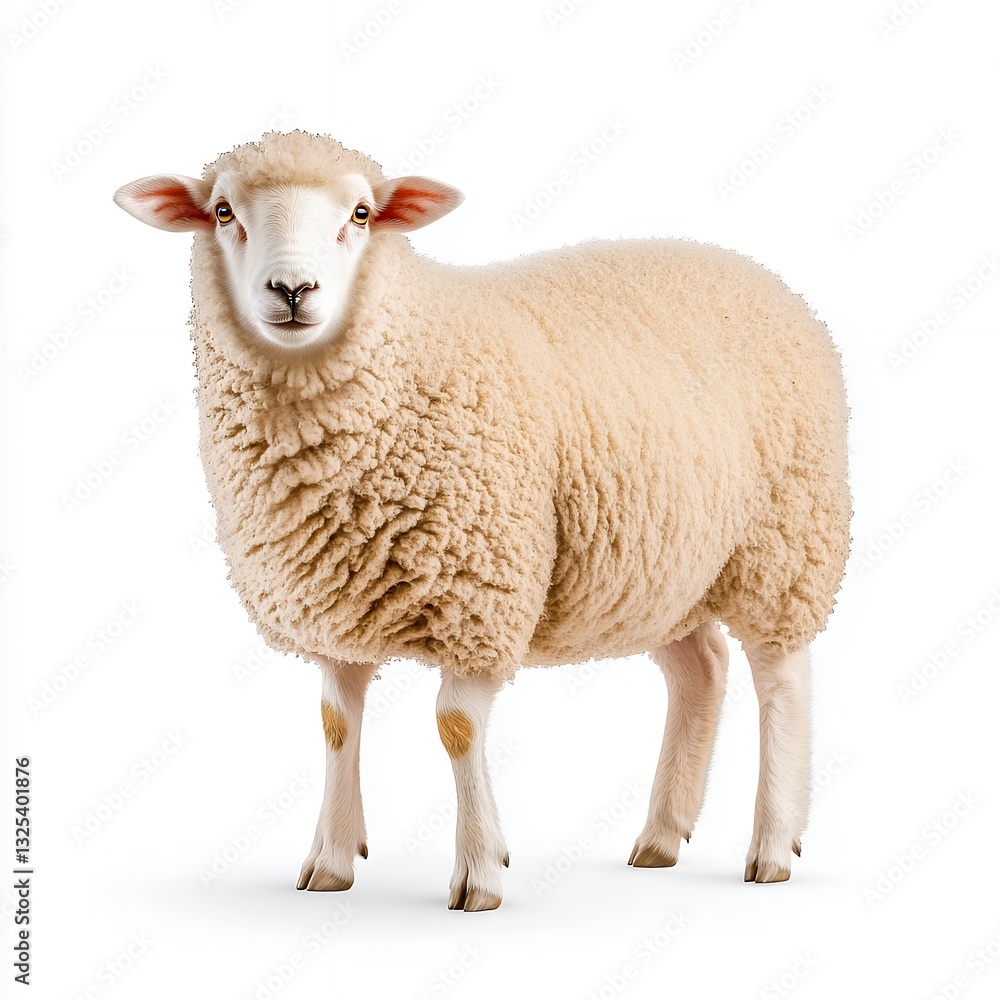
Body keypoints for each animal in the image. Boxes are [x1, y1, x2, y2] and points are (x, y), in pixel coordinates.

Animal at [113, 130, 850, 911]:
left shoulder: (480, 592)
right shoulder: (336, 604)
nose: (291, 291)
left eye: (362, 213)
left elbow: (457, 728)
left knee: (780, 679)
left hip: (785, 541)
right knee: (701, 669)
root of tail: (756, 272)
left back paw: (772, 844)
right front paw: (332, 861)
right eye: (223, 211)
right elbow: (337, 725)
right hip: (661, 566)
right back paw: (660, 837)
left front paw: (479, 873)